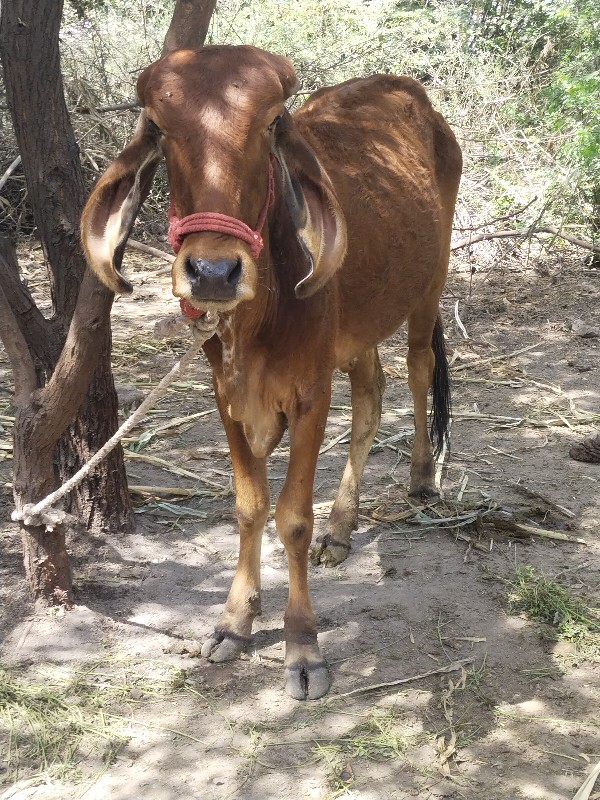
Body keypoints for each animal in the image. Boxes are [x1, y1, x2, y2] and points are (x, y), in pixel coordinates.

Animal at [82, 47, 462, 700]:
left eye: (269, 124)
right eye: (159, 126)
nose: (213, 272)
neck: (258, 320)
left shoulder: (309, 396)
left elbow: (292, 520)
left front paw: (302, 647)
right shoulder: (228, 399)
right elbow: (249, 506)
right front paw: (235, 621)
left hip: (428, 289)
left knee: (419, 372)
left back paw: (419, 476)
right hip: (357, 330)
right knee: (371, 397)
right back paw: (343, 526)